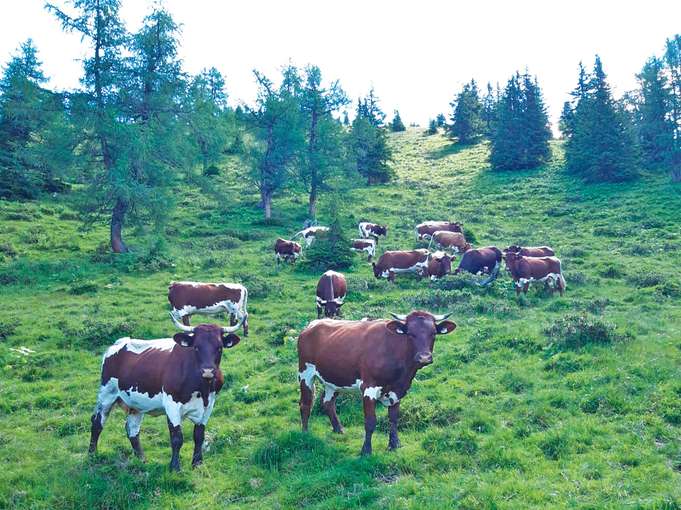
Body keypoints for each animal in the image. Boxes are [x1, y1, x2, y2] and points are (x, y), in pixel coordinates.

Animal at [89, 320, 240, 472]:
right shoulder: (171, 404)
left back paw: (141, 459)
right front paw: (175, 467)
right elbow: (177, 438)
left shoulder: (209, 405)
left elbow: (199, 435)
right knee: (97, 422)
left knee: (132, 429)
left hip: (136, 404)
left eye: (219, 348)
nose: (208, 371)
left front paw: (197, 464)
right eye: (196, 347)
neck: (201, 388)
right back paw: (92, 454)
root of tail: (120, 342)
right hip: (107, 394)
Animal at [298, 310, 456, 454]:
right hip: (305, 373)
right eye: (410, 334)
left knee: (328, 402)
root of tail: (312, 324)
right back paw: (305, 433)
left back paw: (339, 429)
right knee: (306, 403)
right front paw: (366, 450)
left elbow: (393, 418)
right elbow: (370, 421)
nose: (424, 357)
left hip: (334, 379)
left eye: (433, 333)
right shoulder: (369, 387)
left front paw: (394, 445)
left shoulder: (398, 389)